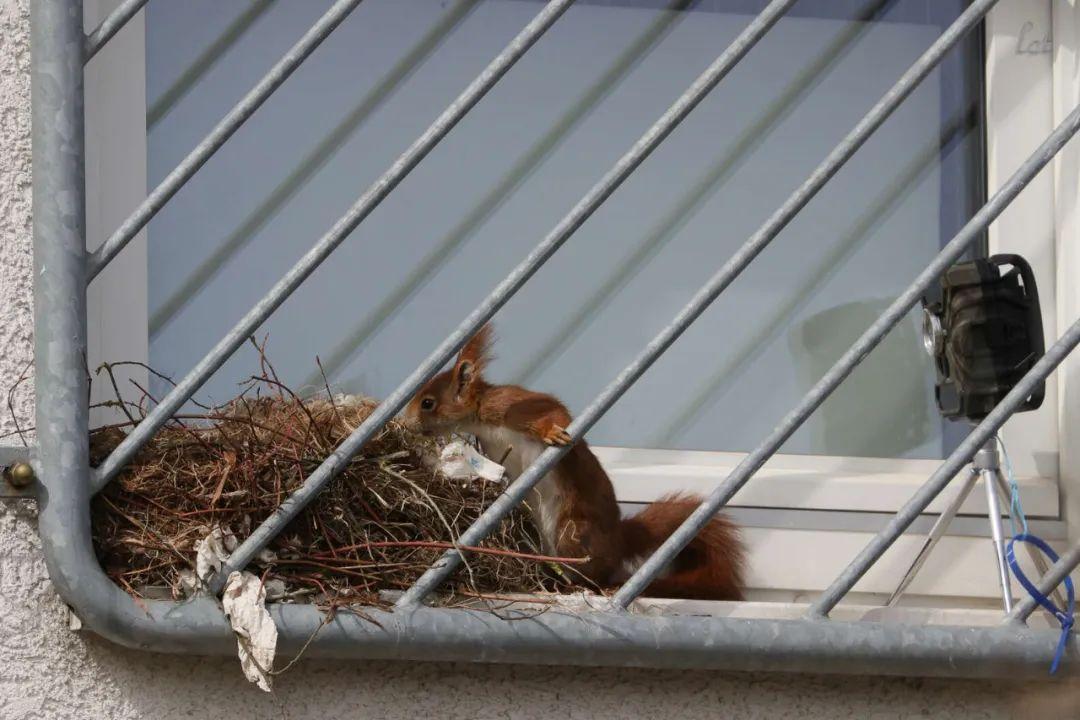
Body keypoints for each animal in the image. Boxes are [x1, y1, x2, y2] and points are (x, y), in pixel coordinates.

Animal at [401, 325, 747, 604]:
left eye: (428, 403)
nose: (405, 423)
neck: (482, 420)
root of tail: (620, 539)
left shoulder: (512, 405)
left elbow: (556, 415)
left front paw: (552, 432)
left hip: (573, 533)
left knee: (593, 575)